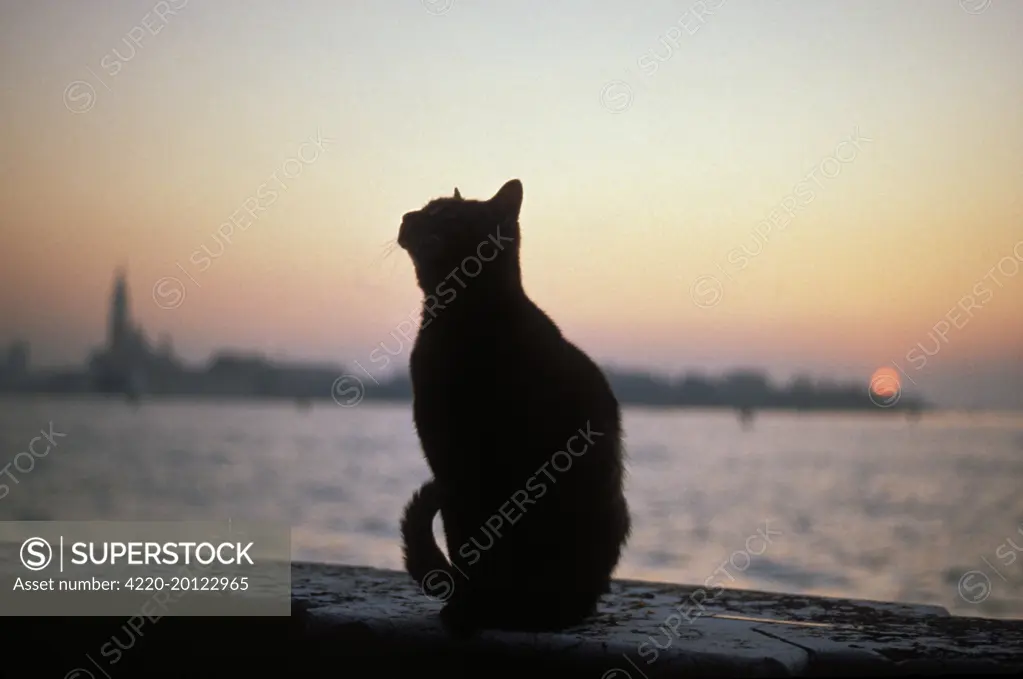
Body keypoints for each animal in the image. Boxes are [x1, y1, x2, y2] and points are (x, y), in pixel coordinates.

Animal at [398, 177, 630, 634]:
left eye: (443, 213)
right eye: (426, 208)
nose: (406, 215)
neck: (465, 315)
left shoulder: (470, 467)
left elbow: (472, 544)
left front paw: (466, 612)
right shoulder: (448, 465)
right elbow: (463, 542)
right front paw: (464, 609)